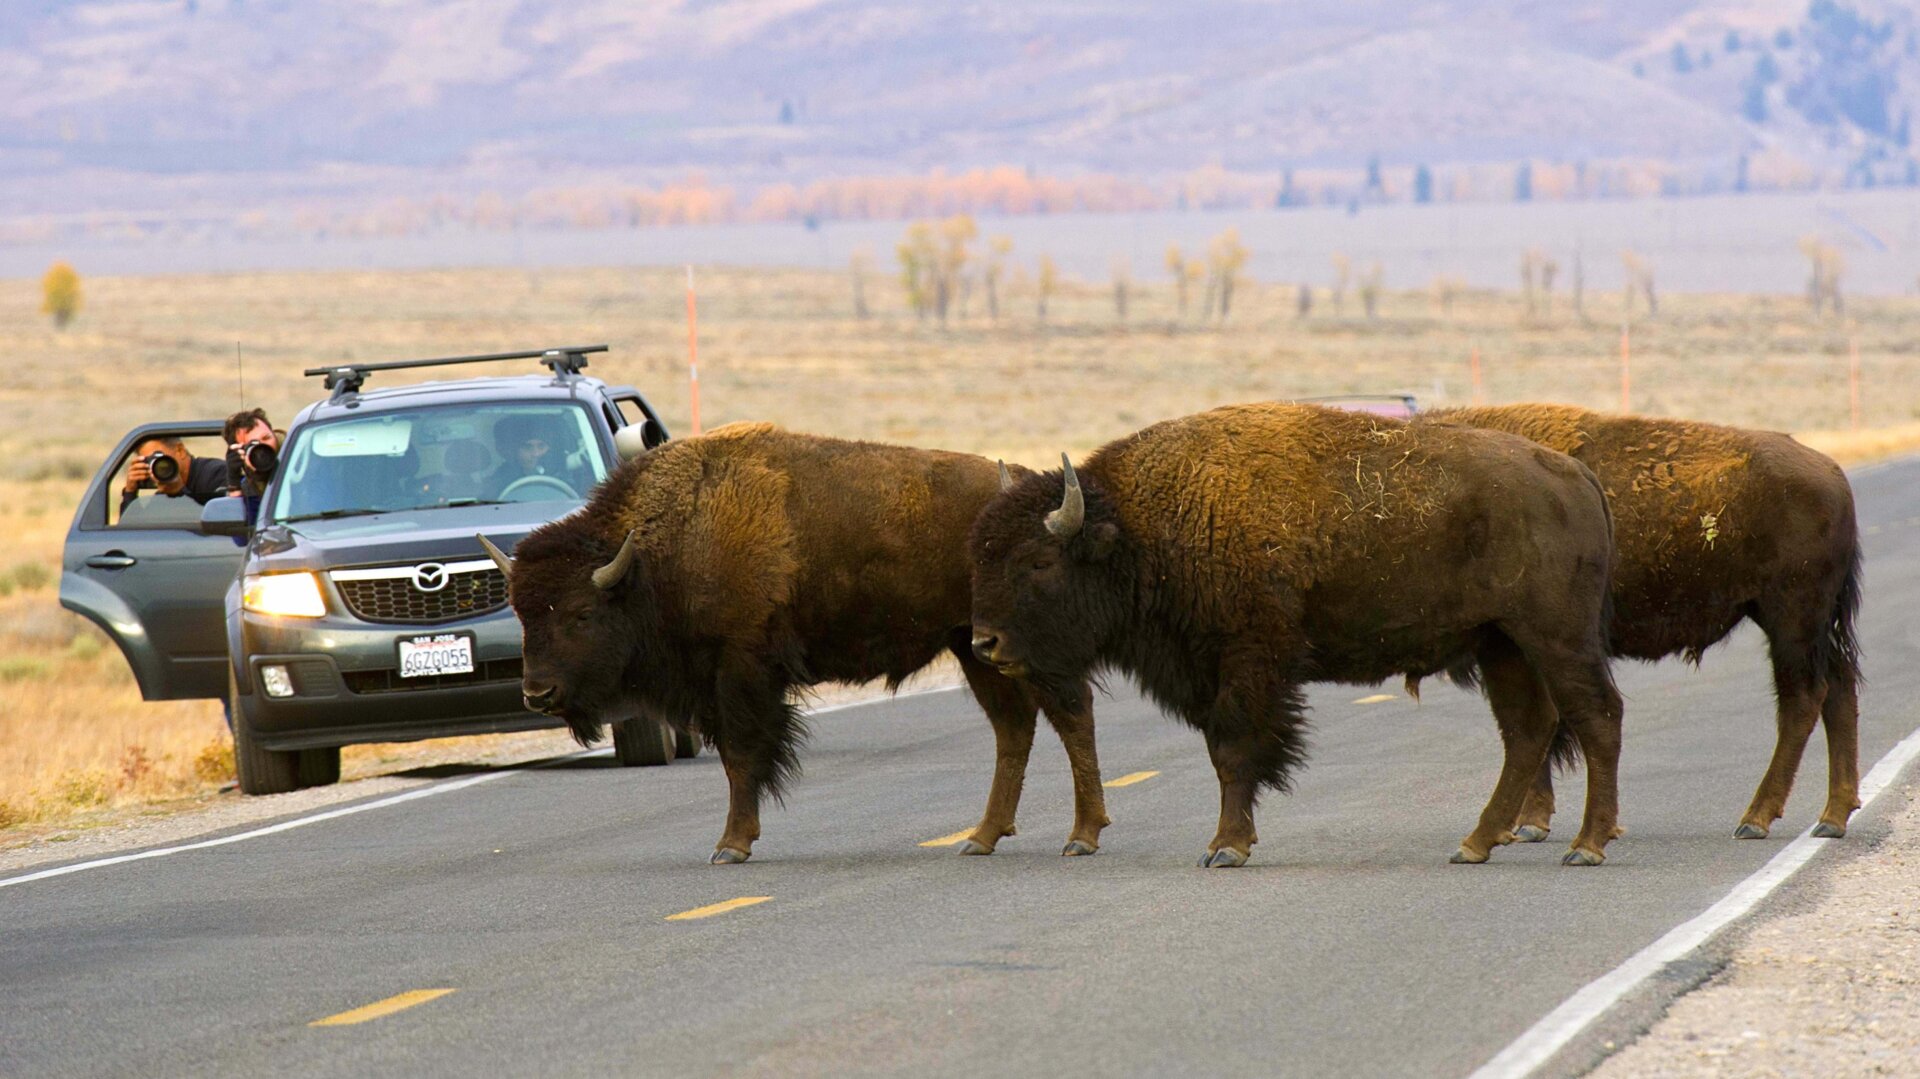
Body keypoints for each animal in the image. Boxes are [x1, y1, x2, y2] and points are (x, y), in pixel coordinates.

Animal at [480, 424, 1113, 860]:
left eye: (582, 613)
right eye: (523, 612)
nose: (537, 693)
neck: (660, 550)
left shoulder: (740, 673)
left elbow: (741, 757)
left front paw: (730, 846)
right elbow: (739, 758)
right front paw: (737, 840)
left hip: (1015, 648)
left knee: (1069, 714)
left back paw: (1081, 836)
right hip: (975, 647)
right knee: (1015, 726)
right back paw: (982, 837)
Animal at [967, 401, 1628, 863]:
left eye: (1039, 562)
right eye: (982, 555)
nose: (983, 643)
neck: (1142, 525)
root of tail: (1578, 477)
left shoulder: (1248, 660)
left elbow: (1235, 748)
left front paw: (1226, 848)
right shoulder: (1209, 672)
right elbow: (1223, 752)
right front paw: (1232, 842)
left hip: (1556, 638)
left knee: (1597, 716)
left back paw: (1586, 847)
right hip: (1501, 644)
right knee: (1528, 730)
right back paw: (1476, 843)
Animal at [1443, 399, 1858, 837]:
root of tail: (1831, 472)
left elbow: (1539, 728)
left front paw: (1529, 823)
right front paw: (1529, 823)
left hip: (1792, 621)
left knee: (1803, 700)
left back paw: (1756, 819)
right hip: (1807, 624)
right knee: (1839, 688)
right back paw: (1832, 817)